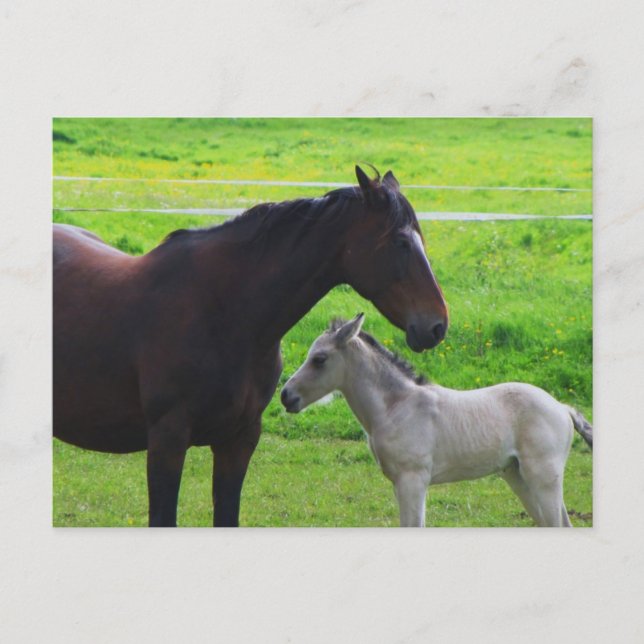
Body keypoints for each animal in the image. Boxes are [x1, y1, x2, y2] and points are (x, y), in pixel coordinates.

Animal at [281, 314, 593, 527]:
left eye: (320, 359)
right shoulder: (400, 484)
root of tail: (562, 408)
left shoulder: (413, 480)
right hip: (517, 475)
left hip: (543, 476)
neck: (397, 407)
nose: (286, 396)